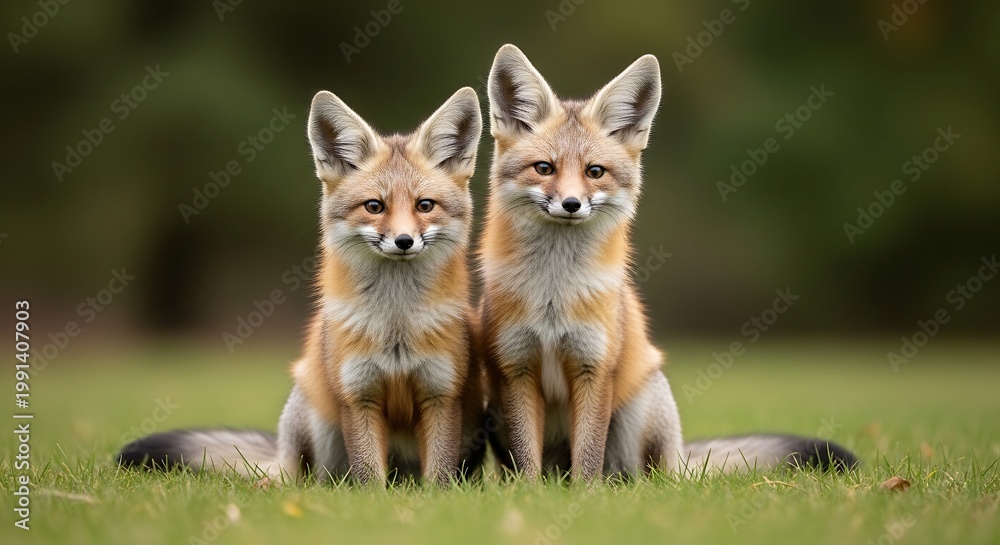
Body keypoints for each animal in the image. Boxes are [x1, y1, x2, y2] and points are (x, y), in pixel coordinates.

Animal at [118, 87, 488, 487]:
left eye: (425, 206)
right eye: (374, 206)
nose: (404, 241)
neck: (396, 326)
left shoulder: (441, 395)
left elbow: (438, 478)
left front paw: (436, 498)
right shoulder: (357, 395)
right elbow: (369, 479)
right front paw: (374, 498)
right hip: (315, 412)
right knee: (309, 478)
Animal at [478, 44, 857, 482]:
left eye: (595, 172)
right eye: (544, 168)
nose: (572, 204)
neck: (553, 296)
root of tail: (681, 459)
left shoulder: (594, 368)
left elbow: (588, 462)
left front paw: (585, 496)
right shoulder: (517, 369)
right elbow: (527, 464)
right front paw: (531, 495)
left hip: (641, 404)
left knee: (643, 479)